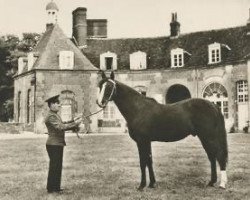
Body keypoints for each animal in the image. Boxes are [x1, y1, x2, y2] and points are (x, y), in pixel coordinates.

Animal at [96, 71, 229, 190]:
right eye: (100, 85)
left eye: (109, 86)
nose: (99, 102)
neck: (138, 109)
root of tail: (213, 105)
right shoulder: (146, 141)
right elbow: (149, 160)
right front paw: (152, 184)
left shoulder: (142, 141)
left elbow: (143, 161)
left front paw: (142, 185)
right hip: (205, 137)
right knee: (212, 157)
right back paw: (211, 182)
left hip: (209, 137)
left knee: (219, 156)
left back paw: (222, 184)